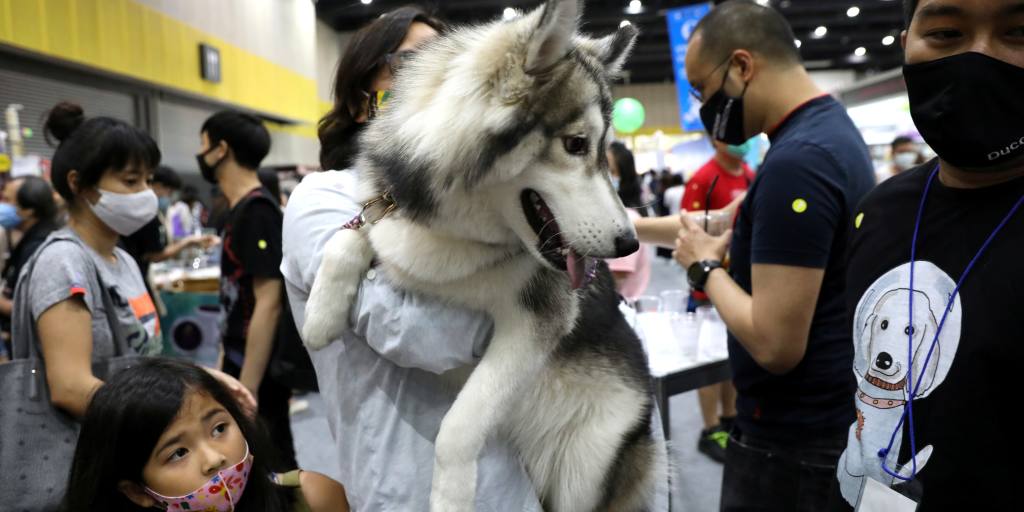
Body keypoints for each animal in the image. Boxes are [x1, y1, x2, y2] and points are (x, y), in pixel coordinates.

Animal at [299, 2, 667, 509]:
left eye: (604, 149)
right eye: (575, 144)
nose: (629, 243)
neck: (459, 235)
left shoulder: (537, 322)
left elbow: (458, 425)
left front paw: (450, 496)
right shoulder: (386, 214)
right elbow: (351, 233)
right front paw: (320, 315)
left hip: (588, 464)